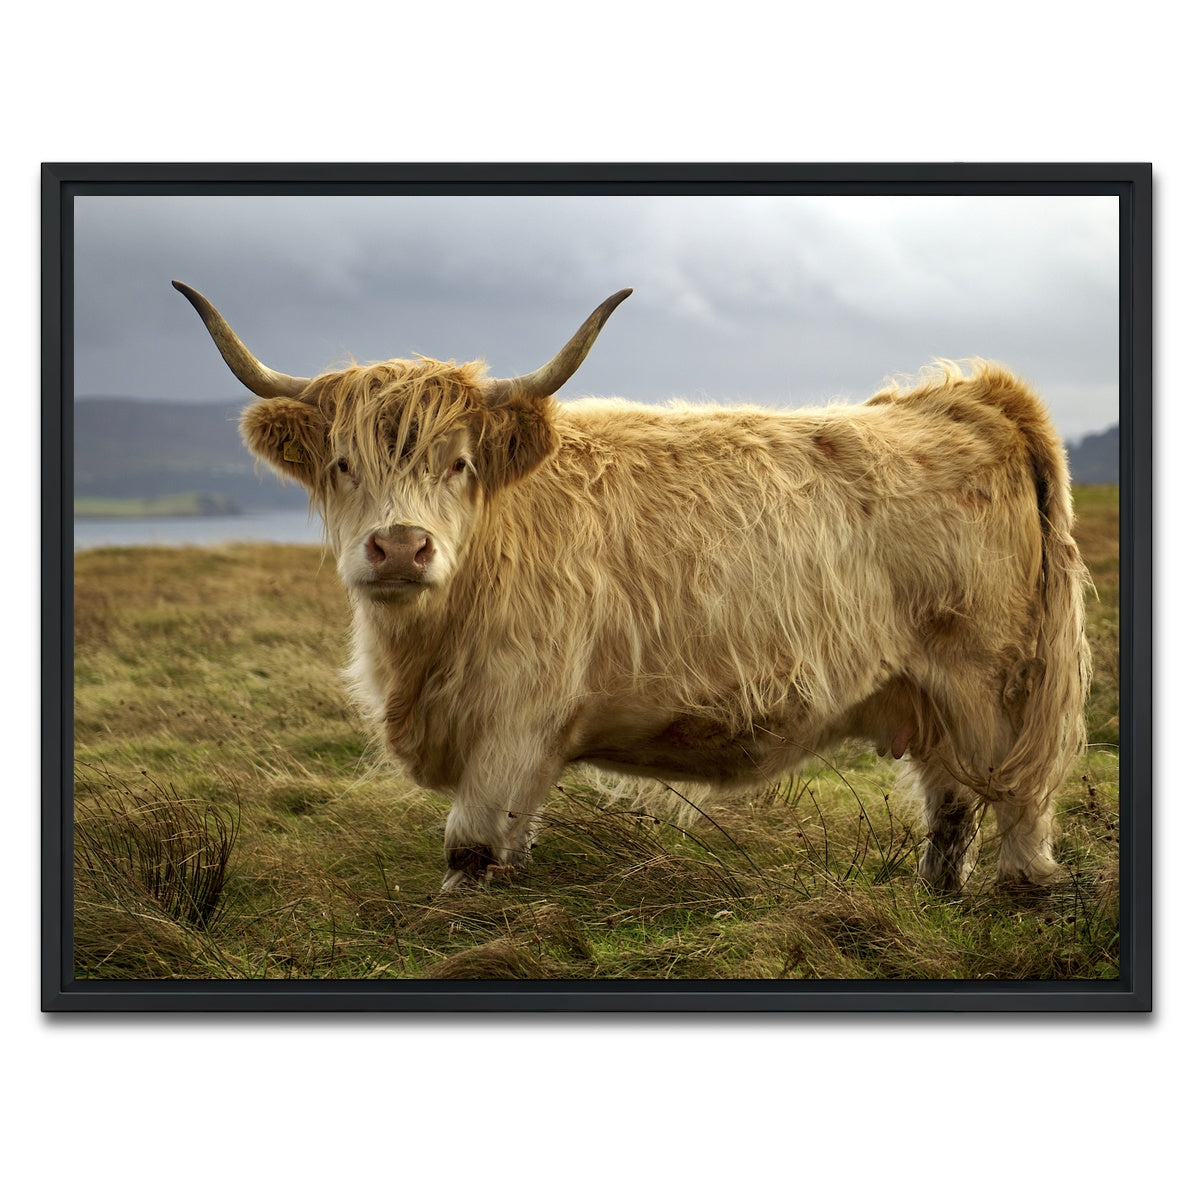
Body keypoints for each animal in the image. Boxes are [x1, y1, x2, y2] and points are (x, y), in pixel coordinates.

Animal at [174, 280, 1092, 893]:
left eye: (460, 463)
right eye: (341, 464)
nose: (401, 547)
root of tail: (970, 395)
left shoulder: (512, 720)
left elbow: (468, 852)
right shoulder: (529, 743)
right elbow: (511, 849)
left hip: (993, 685)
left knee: (1017, 802)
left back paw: (1014, 895)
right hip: (929, 692)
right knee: (951, 804)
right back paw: (932, 899)